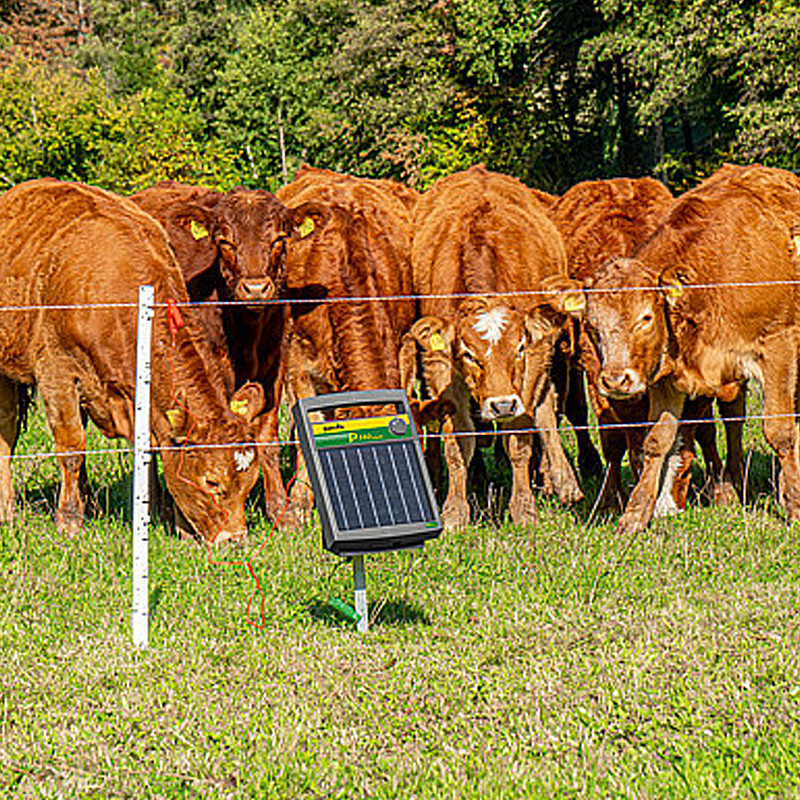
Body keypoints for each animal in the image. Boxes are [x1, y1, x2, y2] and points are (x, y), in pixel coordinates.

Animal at [0, 180, 266, 540]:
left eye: (249, 482)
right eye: (212, 481)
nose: (235, 540)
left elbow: (150, 450)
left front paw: (164, 518)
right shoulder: (57, 370)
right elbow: (72, 448)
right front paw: (69, 522)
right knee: (7, 432)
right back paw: (8, 511)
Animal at [128, 181, 324, 524]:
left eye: (279, 238)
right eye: (224, 241)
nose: (256, 289)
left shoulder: (275, 364)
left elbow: (266, 436)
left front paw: (279, 511)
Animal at [580, 163, 800, 536]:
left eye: (646, 317)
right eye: (592, 325)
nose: (615, 380)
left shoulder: (778, 347)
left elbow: (780, 432)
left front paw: (795, 503)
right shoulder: (667, 376)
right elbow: (657, 440)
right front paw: (635, 514)